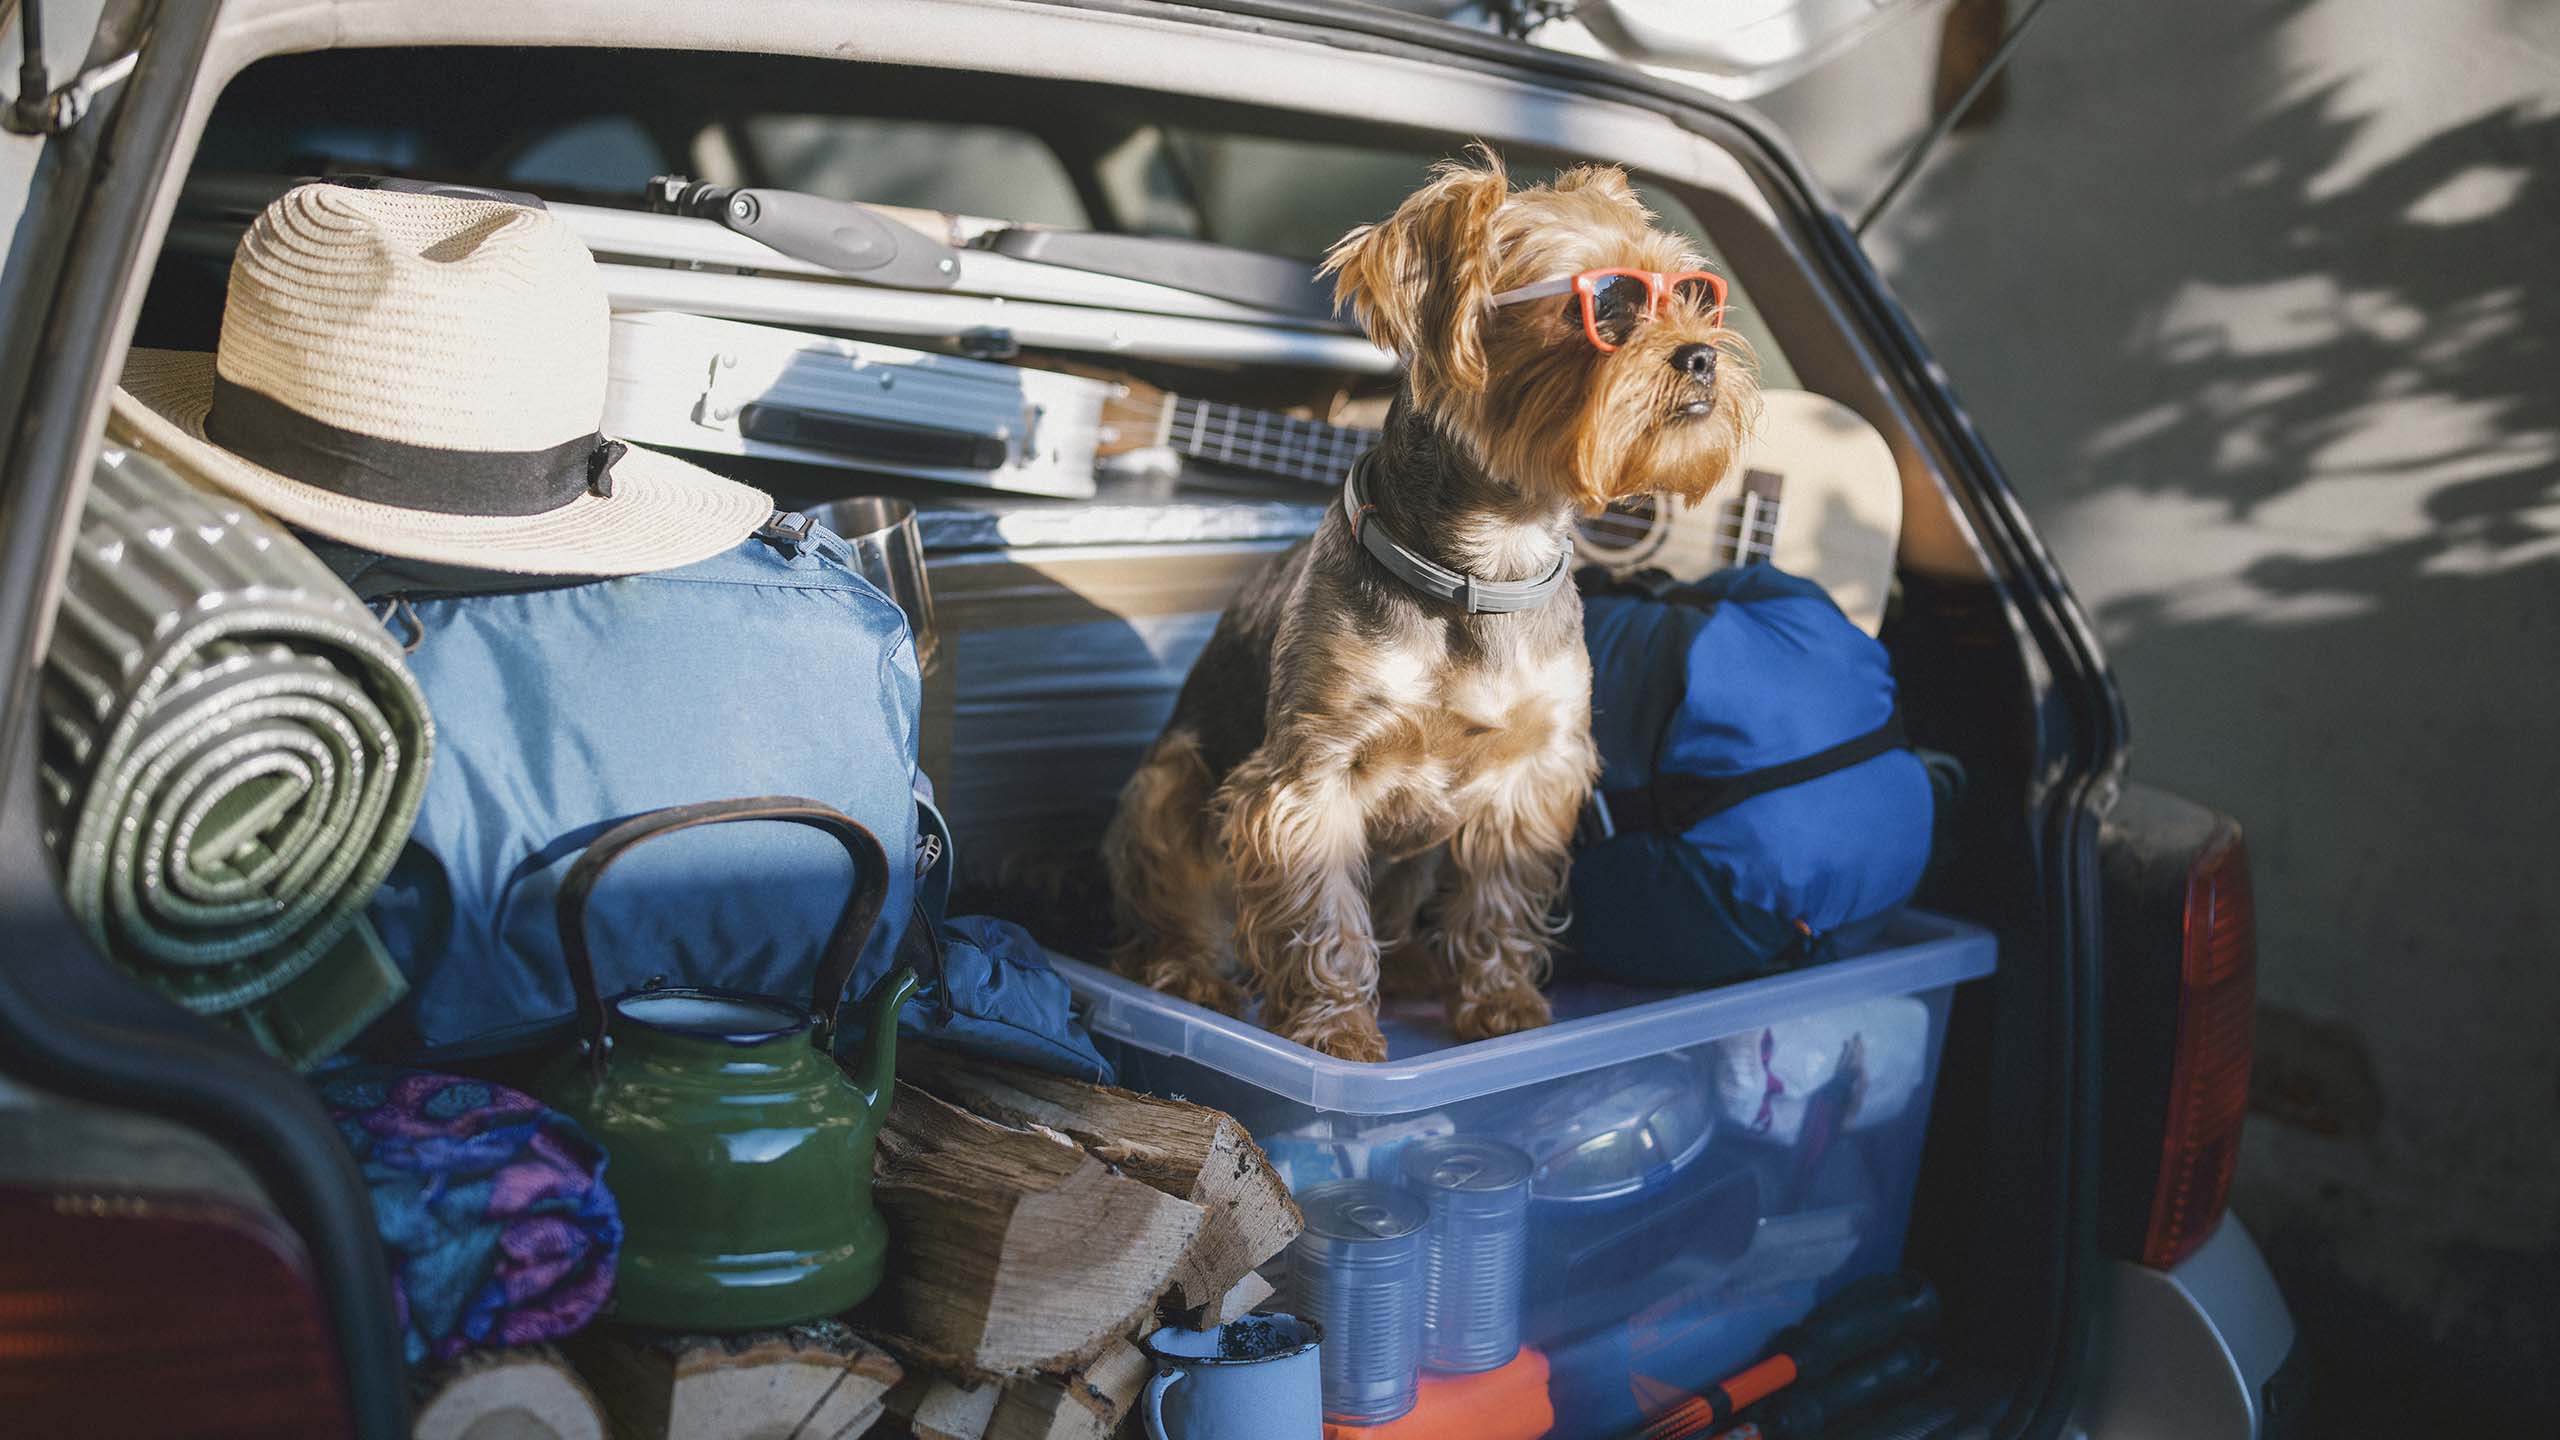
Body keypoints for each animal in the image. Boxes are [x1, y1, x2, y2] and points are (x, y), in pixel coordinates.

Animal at [1100, 151, 1761, 1055]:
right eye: (1604, 303)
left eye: (1695, 294)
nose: (1701, 357)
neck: (1488, 565)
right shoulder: (1310, 774)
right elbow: (1323, 914)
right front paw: (1334, 1030)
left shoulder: (1532, 769)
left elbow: (1500, 897)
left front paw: (1501, 1002)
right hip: (1166, 783)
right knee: (1171, 909)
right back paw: (1192, 972)